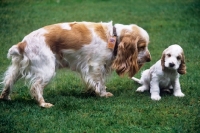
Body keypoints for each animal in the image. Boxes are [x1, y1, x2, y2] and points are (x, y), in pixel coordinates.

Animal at [0, 21, 151, 107]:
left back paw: (5, 97)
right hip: (47, 70)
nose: (149, 58)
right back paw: (43, 103)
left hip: (18, 68)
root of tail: (22, 44)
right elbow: (99, 82)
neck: (113, 36)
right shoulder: (96, 66)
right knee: (36, 87)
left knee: (8, 81)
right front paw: (103, 94)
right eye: (141, 47)